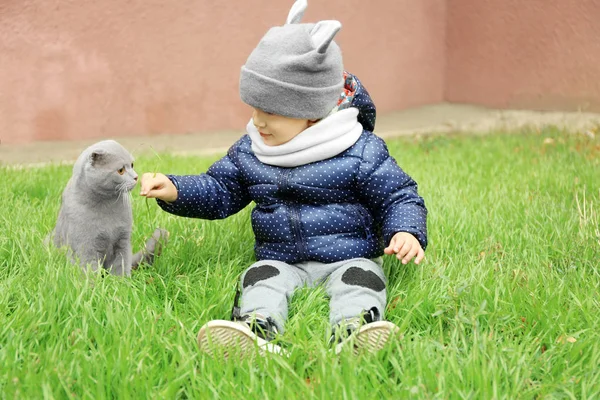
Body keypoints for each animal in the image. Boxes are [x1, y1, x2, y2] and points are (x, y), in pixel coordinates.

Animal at [52, 140, 168, 276]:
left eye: (132, 165)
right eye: (121, 170)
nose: (136, 177)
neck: (107, 206)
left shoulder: (123, 241)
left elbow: (121, 265)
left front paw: (121, 281)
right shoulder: (85, 246)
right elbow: (89, 269)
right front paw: (94, 282)